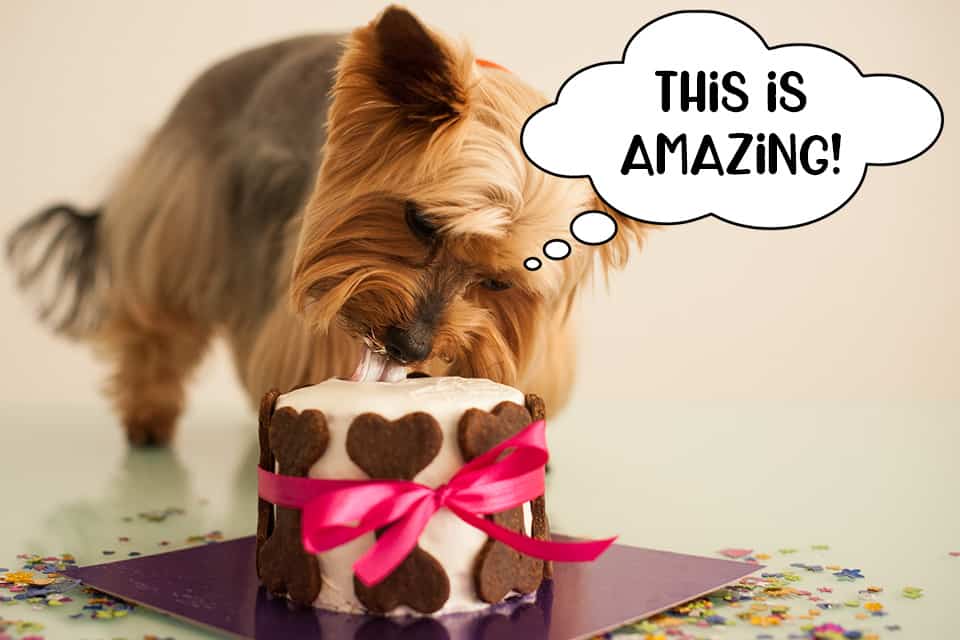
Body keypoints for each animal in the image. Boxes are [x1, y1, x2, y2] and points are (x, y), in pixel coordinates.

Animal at [7, 5, 640, 444]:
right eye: (421, 222)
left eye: (502, 282)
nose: (410, 347)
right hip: (183, 216)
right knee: (157, 325)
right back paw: (148, 417)